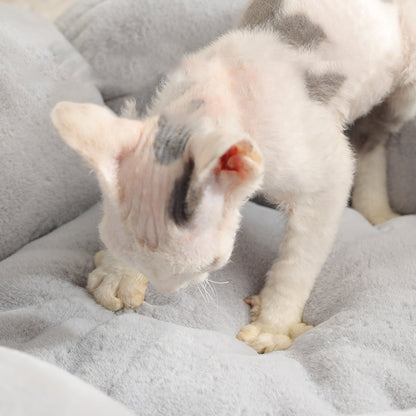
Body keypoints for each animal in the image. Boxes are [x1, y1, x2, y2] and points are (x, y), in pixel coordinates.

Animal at [51, 0, 416, 354]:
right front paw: (117, 274)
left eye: (208, 266)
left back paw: (376, 210)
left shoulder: (327, 172)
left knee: (373, 135)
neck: (216, 99)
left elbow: (298, 261)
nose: (168, 290)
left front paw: (273, 325)